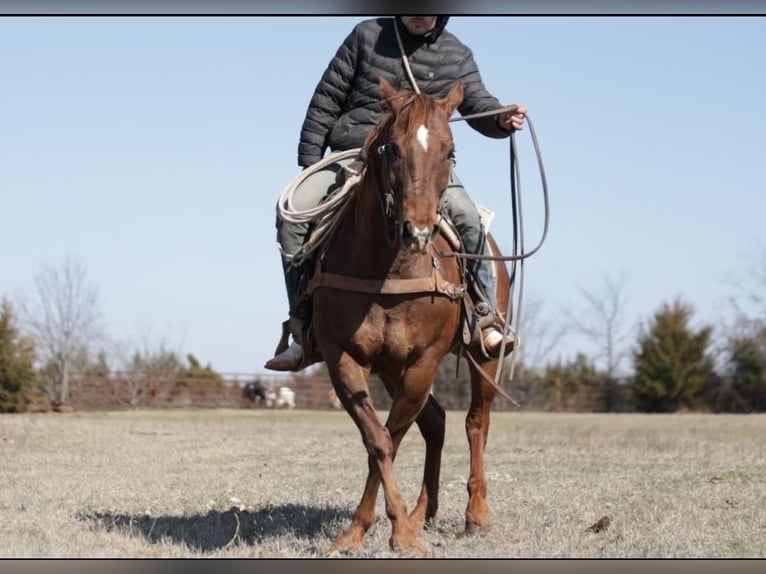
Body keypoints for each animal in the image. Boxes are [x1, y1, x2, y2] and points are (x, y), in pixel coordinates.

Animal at [308, 76, 516, 560]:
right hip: (389, 367)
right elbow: (379, 441)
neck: (388, 270)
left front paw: (400, 533)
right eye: (392, 148)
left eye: (450, 151)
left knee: (476, 422)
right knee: (436, 422)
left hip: (485, 355)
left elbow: (395, 435)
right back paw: (424, 512)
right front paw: (364, 531)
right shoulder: (344, 359)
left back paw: (476, 514)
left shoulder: (423, 362)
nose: (417, 232)